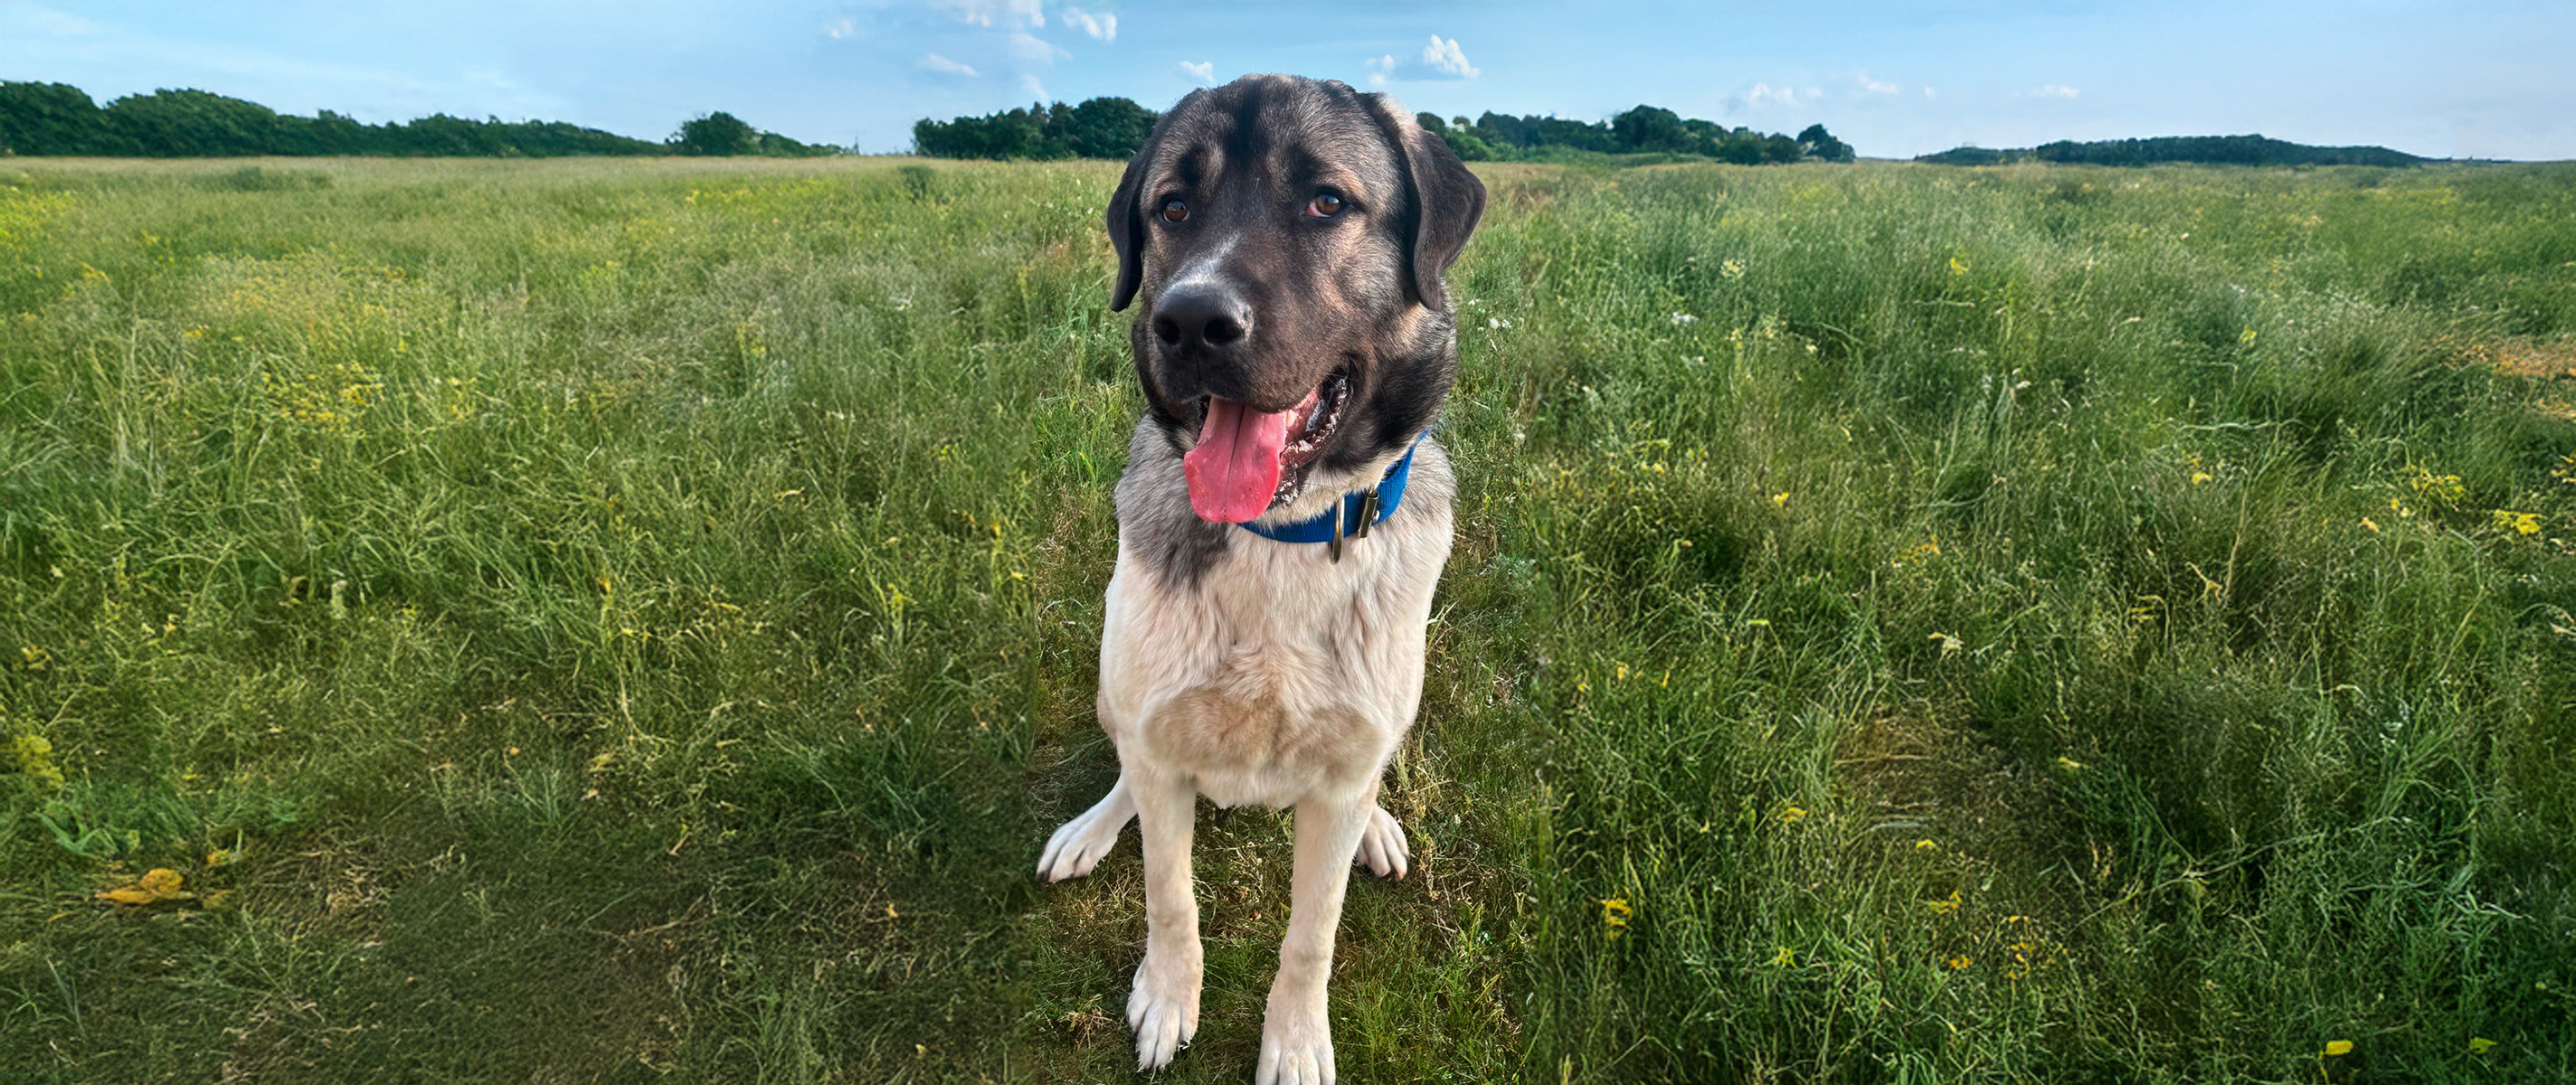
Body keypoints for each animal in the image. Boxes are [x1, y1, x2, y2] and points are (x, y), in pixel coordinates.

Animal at [1035, 71, 1493, 1077]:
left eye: (1326, 201)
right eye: (1173, 206)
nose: (1192, 323)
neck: (1282, 532)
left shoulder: (1341, 772)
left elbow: (1310, 934)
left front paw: (1293, 1038)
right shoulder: (1160, 745)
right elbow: (1170, 897)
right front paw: (1170, 999)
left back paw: (1379, 827)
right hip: (1111, 689)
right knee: (1125, 772)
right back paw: (1092, 828)